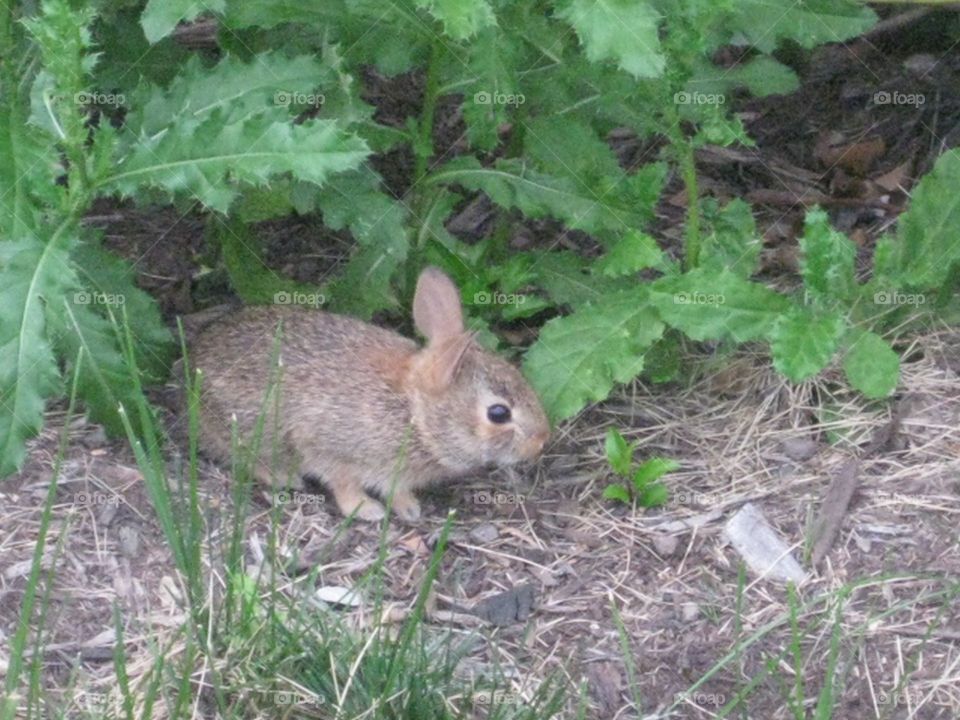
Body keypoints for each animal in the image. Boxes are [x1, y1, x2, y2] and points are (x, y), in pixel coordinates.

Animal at [184, 266, 551, 522]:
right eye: (499, 413)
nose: (541, 442)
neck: (413, 412)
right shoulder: (326, 446)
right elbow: (342, 483)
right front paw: (367, 510)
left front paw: (408, 508)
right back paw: (285, 478)